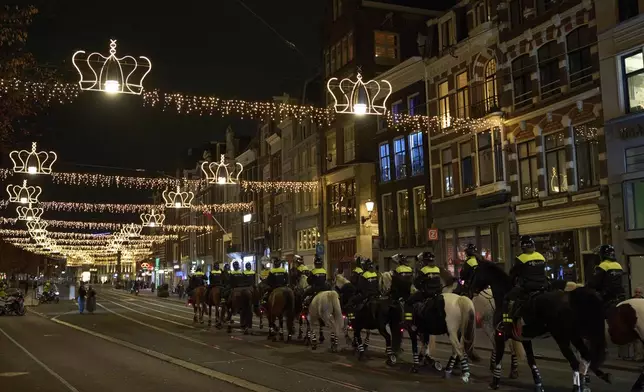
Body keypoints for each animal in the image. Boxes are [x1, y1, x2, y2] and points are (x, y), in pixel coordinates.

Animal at [468, 260, 608, 392]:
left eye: (476, 272)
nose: (470, 289)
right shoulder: (524, 339)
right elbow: (531, 361)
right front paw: (538, 384)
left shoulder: (499, 334)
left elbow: (499, 355)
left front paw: (495, 382)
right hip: (574, 337)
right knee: (586, 358)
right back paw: (586, 384)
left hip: (562, 338)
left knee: (574, 361)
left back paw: (577, 387)